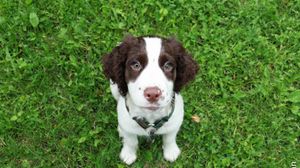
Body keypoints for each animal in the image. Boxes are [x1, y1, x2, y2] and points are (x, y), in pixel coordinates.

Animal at [102, 35, 198, 164]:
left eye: (168, 66)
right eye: (136, 65)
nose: (152, 94)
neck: (150, 116)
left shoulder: (175, 121)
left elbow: (170, 137)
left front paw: (171, 151)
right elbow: (131, 141)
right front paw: (128, 154)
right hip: (114, 87)